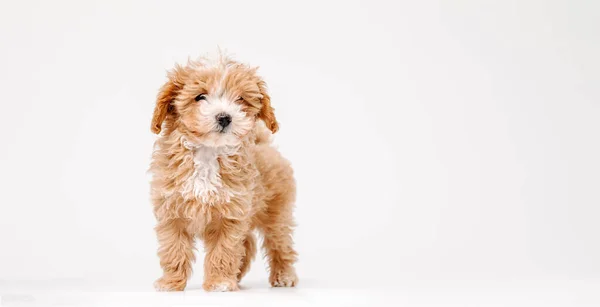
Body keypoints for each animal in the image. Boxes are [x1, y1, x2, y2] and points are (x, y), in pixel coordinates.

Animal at [149, 53, 298, 294]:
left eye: (240, 99)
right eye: (200, 97)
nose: (225, 117)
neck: (208, 153)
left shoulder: (230, 215)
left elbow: (223, 250)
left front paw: (219, 282)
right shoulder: (172, 211)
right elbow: (174, 249)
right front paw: (170, 282)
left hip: (277, 213)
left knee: (279, 243)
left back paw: (283, 275)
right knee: (248, 244)